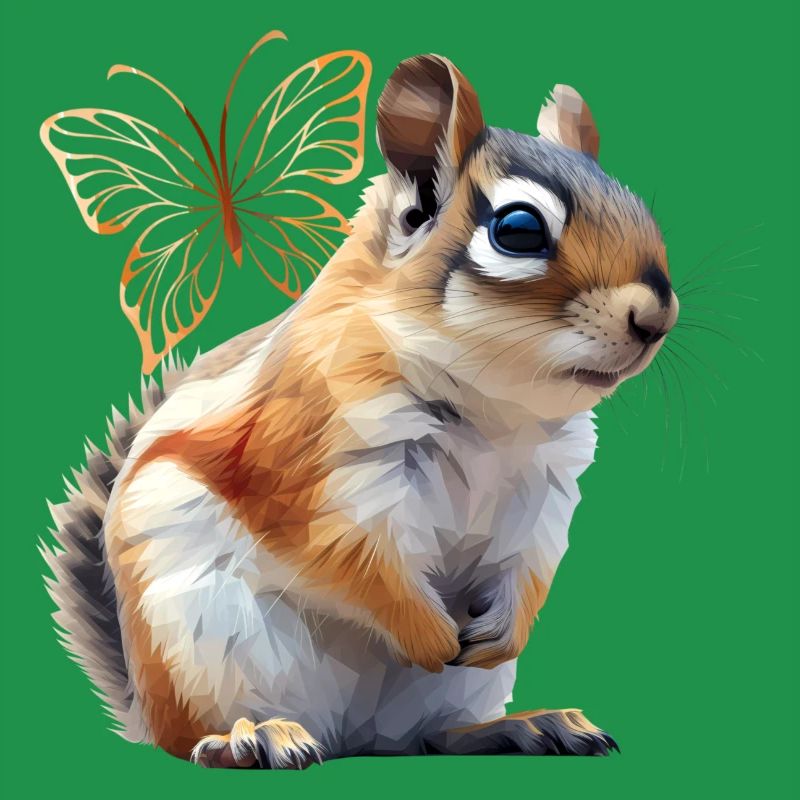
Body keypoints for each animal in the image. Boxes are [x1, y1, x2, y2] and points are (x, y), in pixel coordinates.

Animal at [42, 54, 678, 768]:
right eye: (518, 229)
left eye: (638, 206)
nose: (657, 317)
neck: (496, 411)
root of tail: (352, 738)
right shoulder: (315, 459)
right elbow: (355, 561)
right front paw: (430, 634)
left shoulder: (545, 487)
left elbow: (533, 561)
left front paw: (505, 631)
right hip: (204, 646)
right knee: (200, 738)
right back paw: (252, 737)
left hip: (448, 698)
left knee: (432, 738)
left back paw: (524, 726)